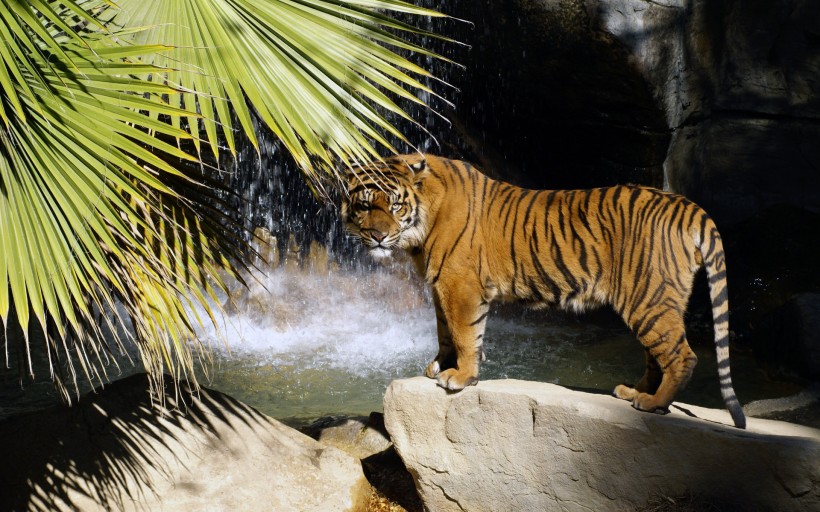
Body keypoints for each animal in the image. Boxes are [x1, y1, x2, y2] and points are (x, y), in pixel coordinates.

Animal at [341, 153, 746, 429]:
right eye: (364, 205)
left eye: (396, 205)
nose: (378, 236)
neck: (421, 228)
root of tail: (686, 204)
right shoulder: (440, 286)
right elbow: (444, 332)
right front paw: (439, 364)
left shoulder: (460, 285)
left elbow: (465, 333)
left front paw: (461, 377)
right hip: (653, 301)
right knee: (656, 356)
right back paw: (634, 393)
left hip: (648, 298)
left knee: (682, 356)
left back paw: (654, 403)